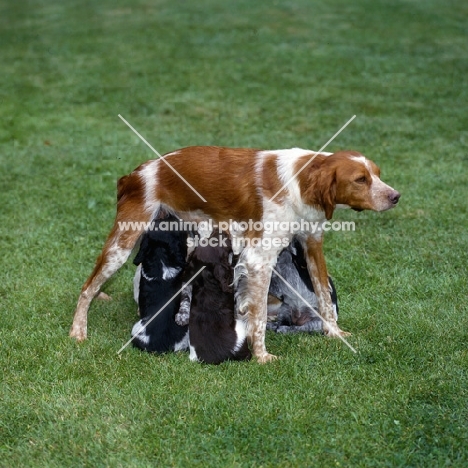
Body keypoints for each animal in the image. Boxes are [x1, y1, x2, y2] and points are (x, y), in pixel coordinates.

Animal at [186, 230, 252, 366]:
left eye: (210, 237)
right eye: (221, 240)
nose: (221, 230)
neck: (206, 281)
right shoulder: (230, 280)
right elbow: (235, 268)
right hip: (241, 330)